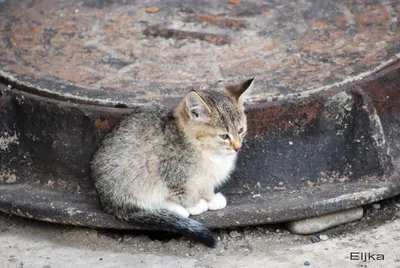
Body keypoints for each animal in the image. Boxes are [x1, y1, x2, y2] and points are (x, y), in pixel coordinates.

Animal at [90, 77, 253, 247]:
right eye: (224, 136)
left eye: (240, 130)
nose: (237, 147)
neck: (208, 151)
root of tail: (107, 199)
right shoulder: (174, 175)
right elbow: (185, 192)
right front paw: (196, 205)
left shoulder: (205, 178)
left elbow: (206, 186)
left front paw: (211, 198)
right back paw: (177, 211)